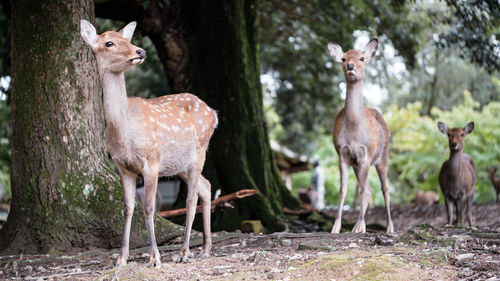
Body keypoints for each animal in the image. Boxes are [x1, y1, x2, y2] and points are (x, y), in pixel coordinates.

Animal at [80, 20, 217, 266]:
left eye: (128, 39)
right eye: (109, 42)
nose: (140, 51)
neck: (123, 131)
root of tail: (214, 113)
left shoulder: (151, 161)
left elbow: (149, 207)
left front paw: (154, 257)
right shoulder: (122, 166)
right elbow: (128, 208)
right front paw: (121, 258)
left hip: (200, 151)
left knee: (191, 198)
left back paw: (184, 252)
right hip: (180, 164)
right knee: (206, 186)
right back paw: (205, 248)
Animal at [328, 38, 394, 233]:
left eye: (362, 58)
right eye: (343, 58)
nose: (350, 66)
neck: (354, 132)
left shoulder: (367, 154)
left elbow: (362, 190)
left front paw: (358, 226)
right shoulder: (343, 154)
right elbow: (343, 190)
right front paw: (336, 227)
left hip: (382, 157)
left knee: (384, 189)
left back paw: (389, 227)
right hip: (358, 164)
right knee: (370, 189)